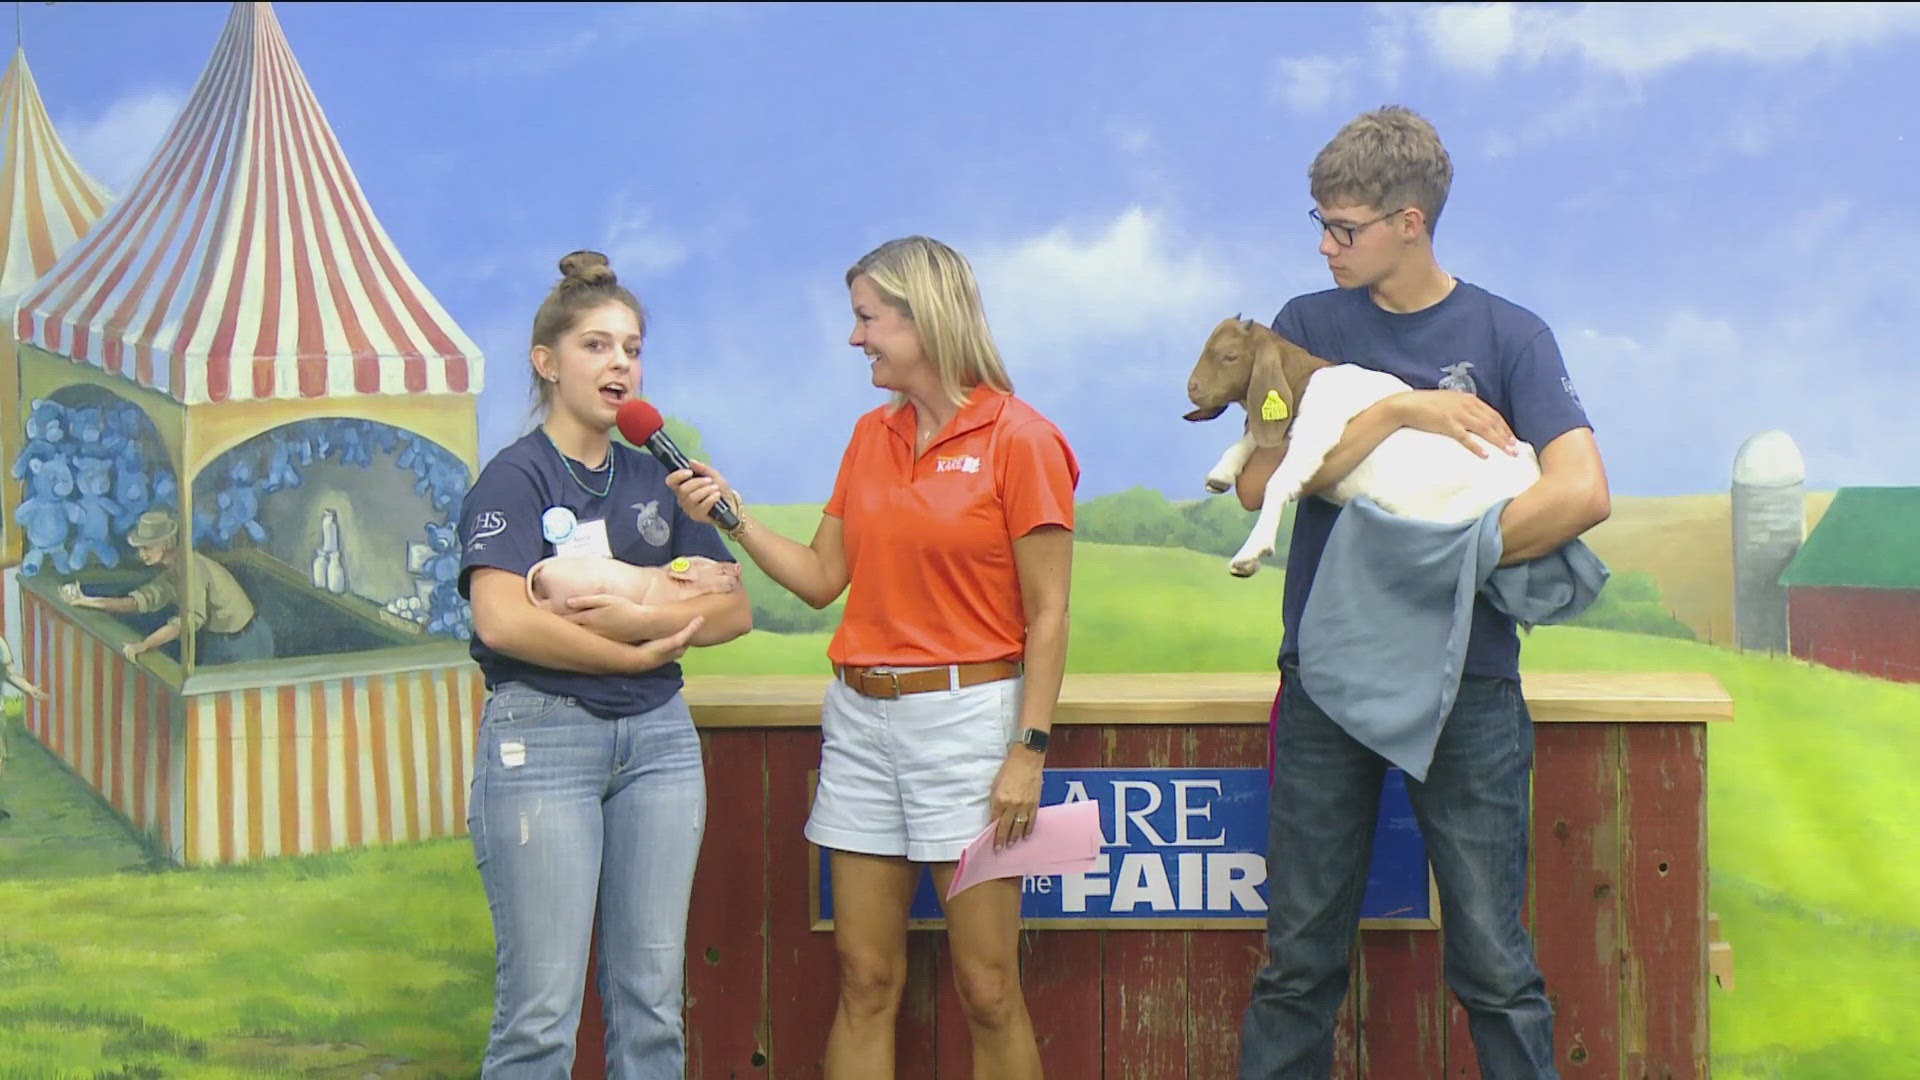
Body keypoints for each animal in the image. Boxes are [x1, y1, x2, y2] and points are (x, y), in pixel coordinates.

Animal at [1182, 315, 1543, 576]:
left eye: (1229, 356)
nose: (1193, 387)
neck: (1304, 381)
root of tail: (1533, 473)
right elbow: (1253, 438)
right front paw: (1221, 474)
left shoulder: (1316, 433)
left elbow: (1278, 480)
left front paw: (1250, 553)